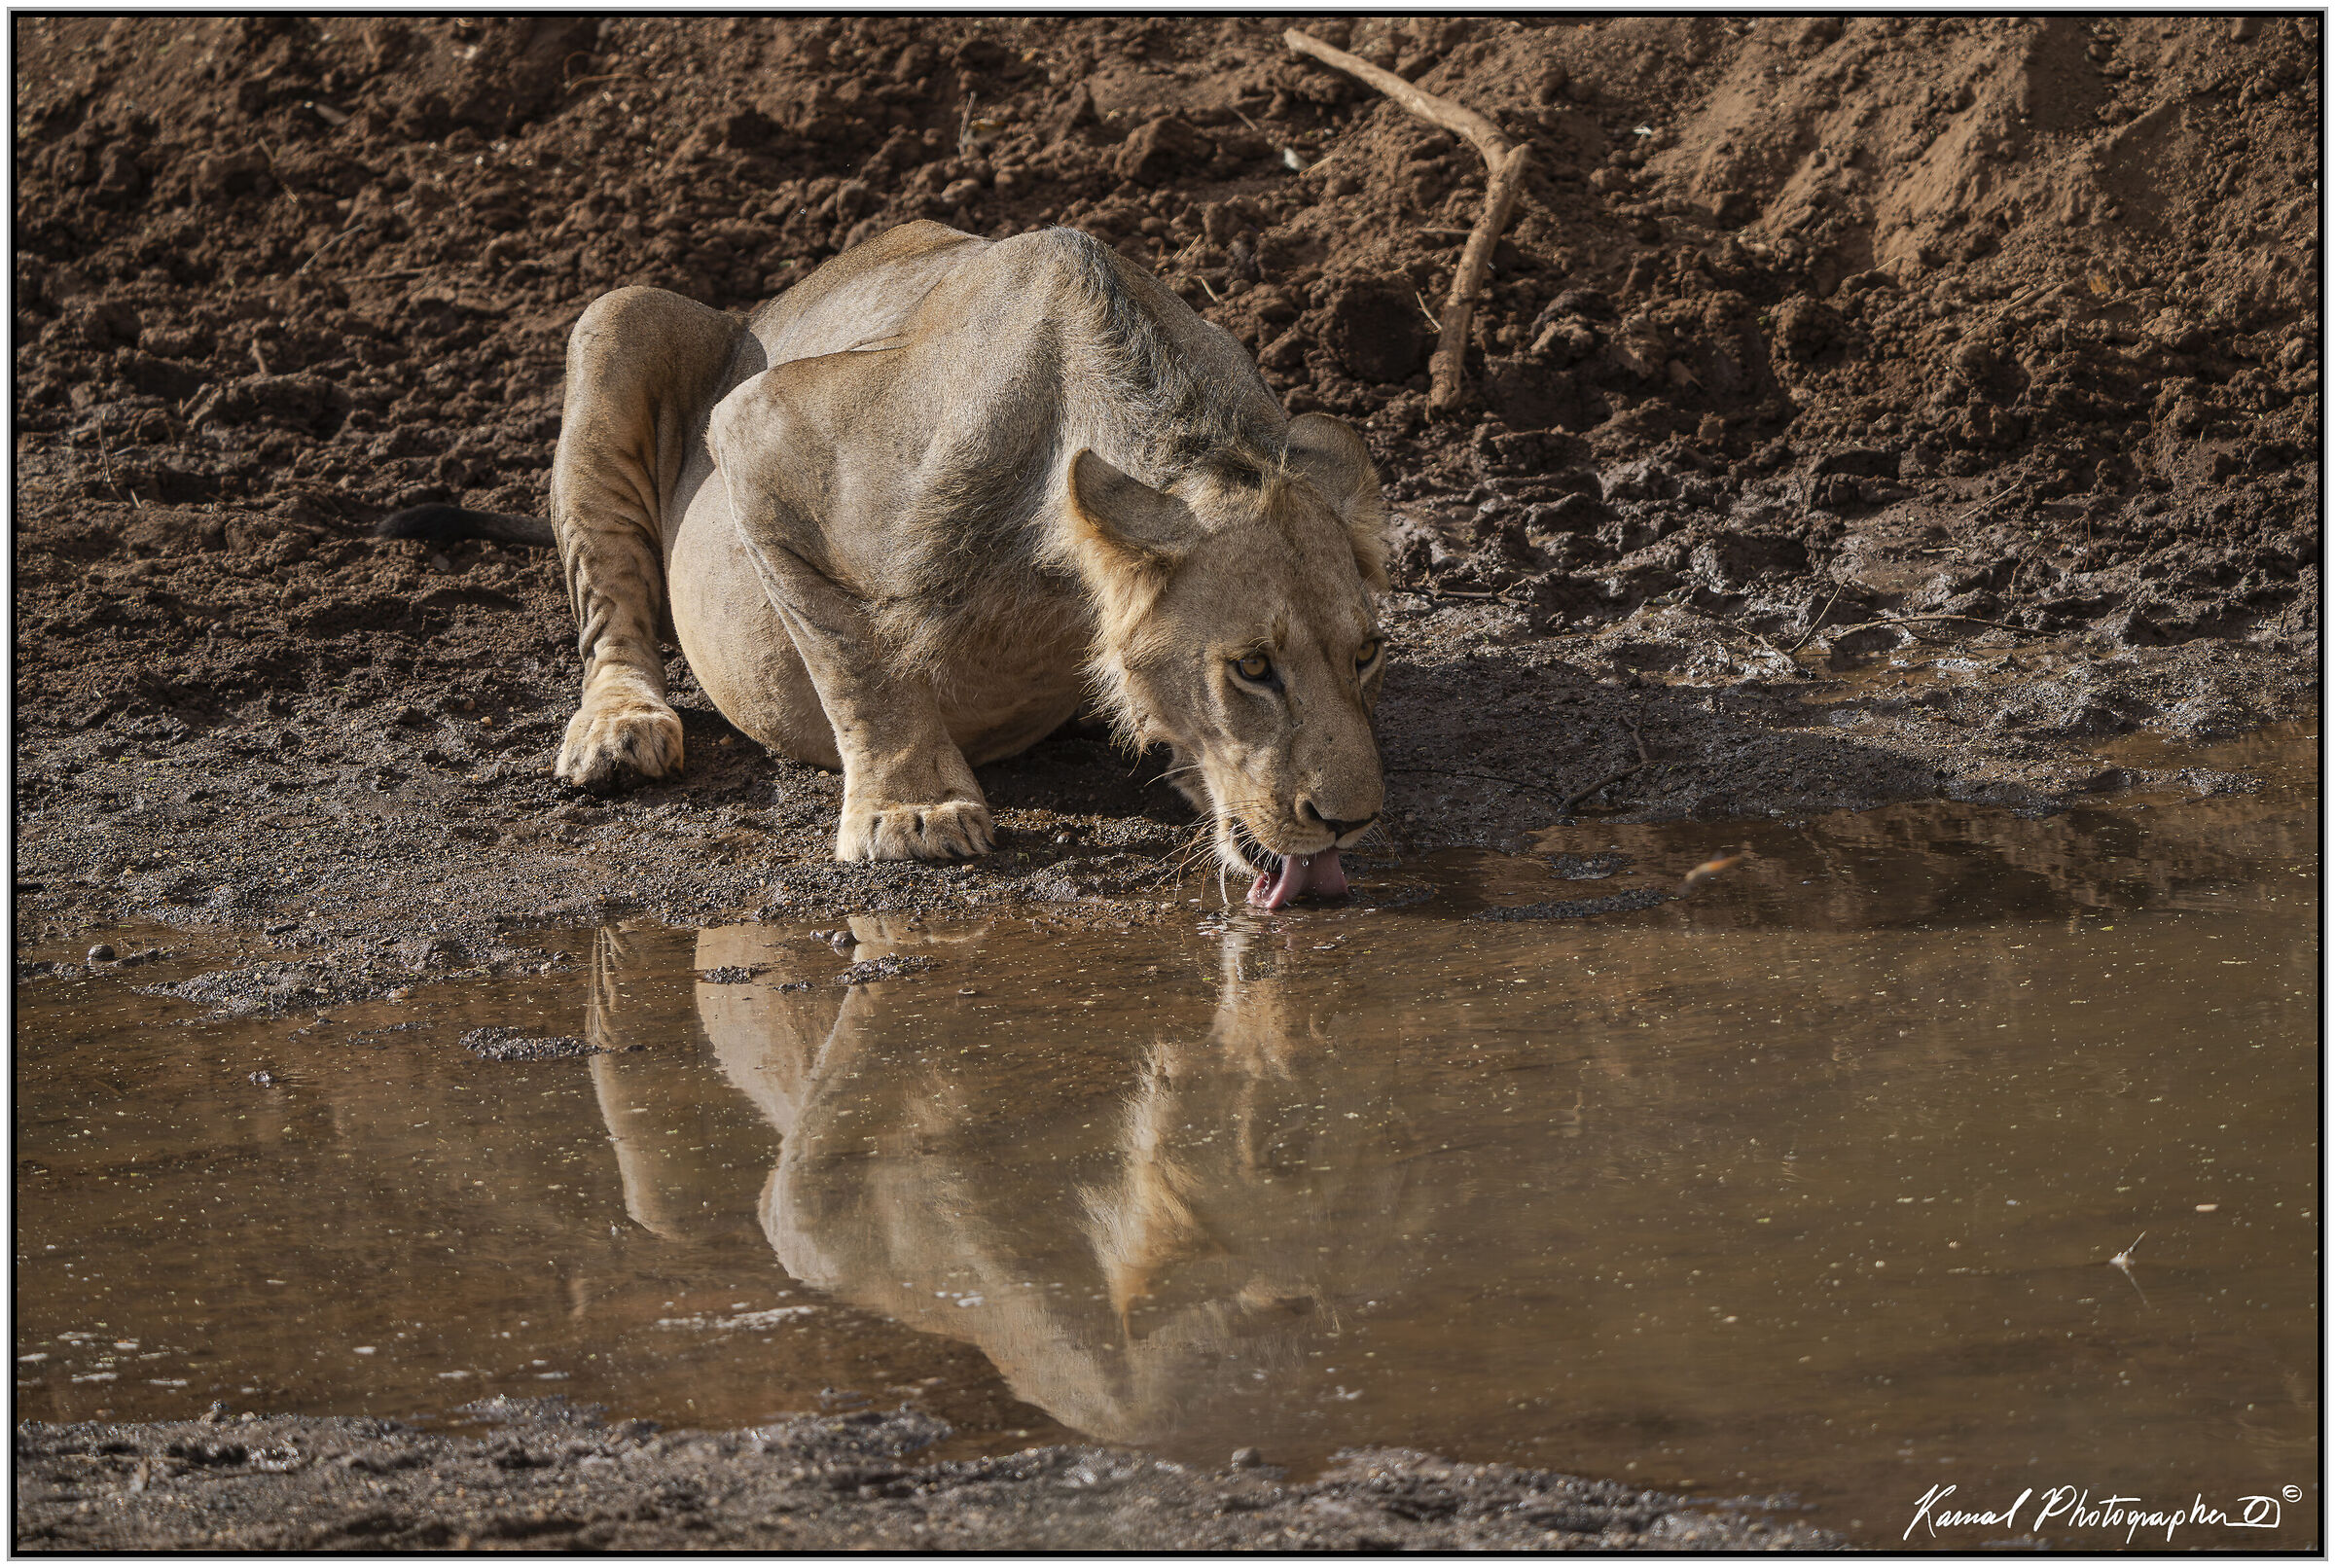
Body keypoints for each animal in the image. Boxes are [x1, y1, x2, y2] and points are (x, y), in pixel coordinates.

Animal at [383, 221, 1388, 906]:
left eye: (1368, 655)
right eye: (1251, 669)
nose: (1355, 822)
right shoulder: (759, 429)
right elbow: (856, 653)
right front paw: (914, 814)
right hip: (618, 317)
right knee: (611, 610)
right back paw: (620, 727)